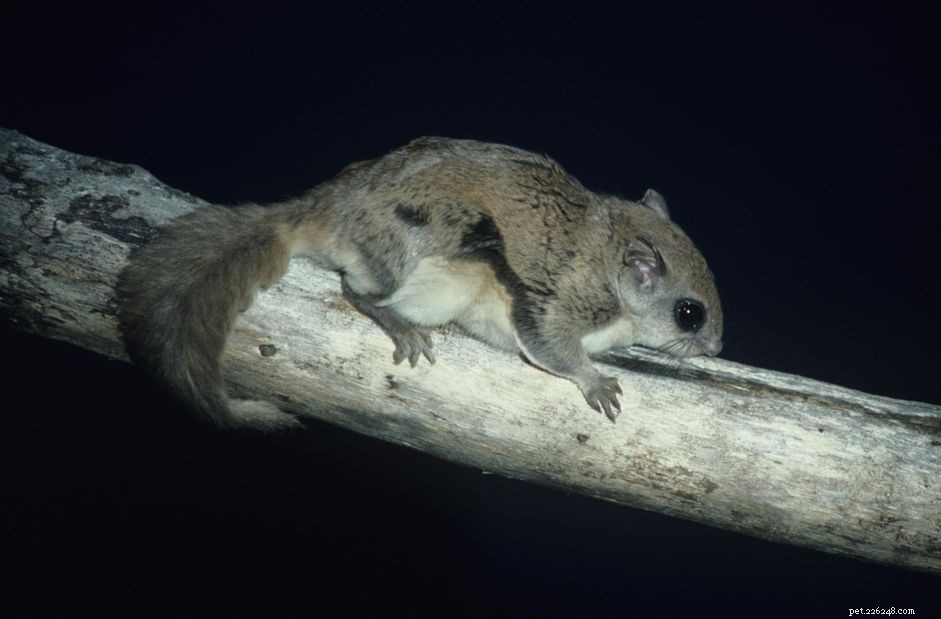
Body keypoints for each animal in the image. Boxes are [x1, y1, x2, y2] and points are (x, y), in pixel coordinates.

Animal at [116, 137, 723, 430]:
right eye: (689, 313)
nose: (718, 347)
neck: (609, 264)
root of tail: (319, 213)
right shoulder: (557, 305)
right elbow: (555, 351)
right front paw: (596, 381)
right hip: (424, 260)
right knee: (357, 291)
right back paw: (400, 326)